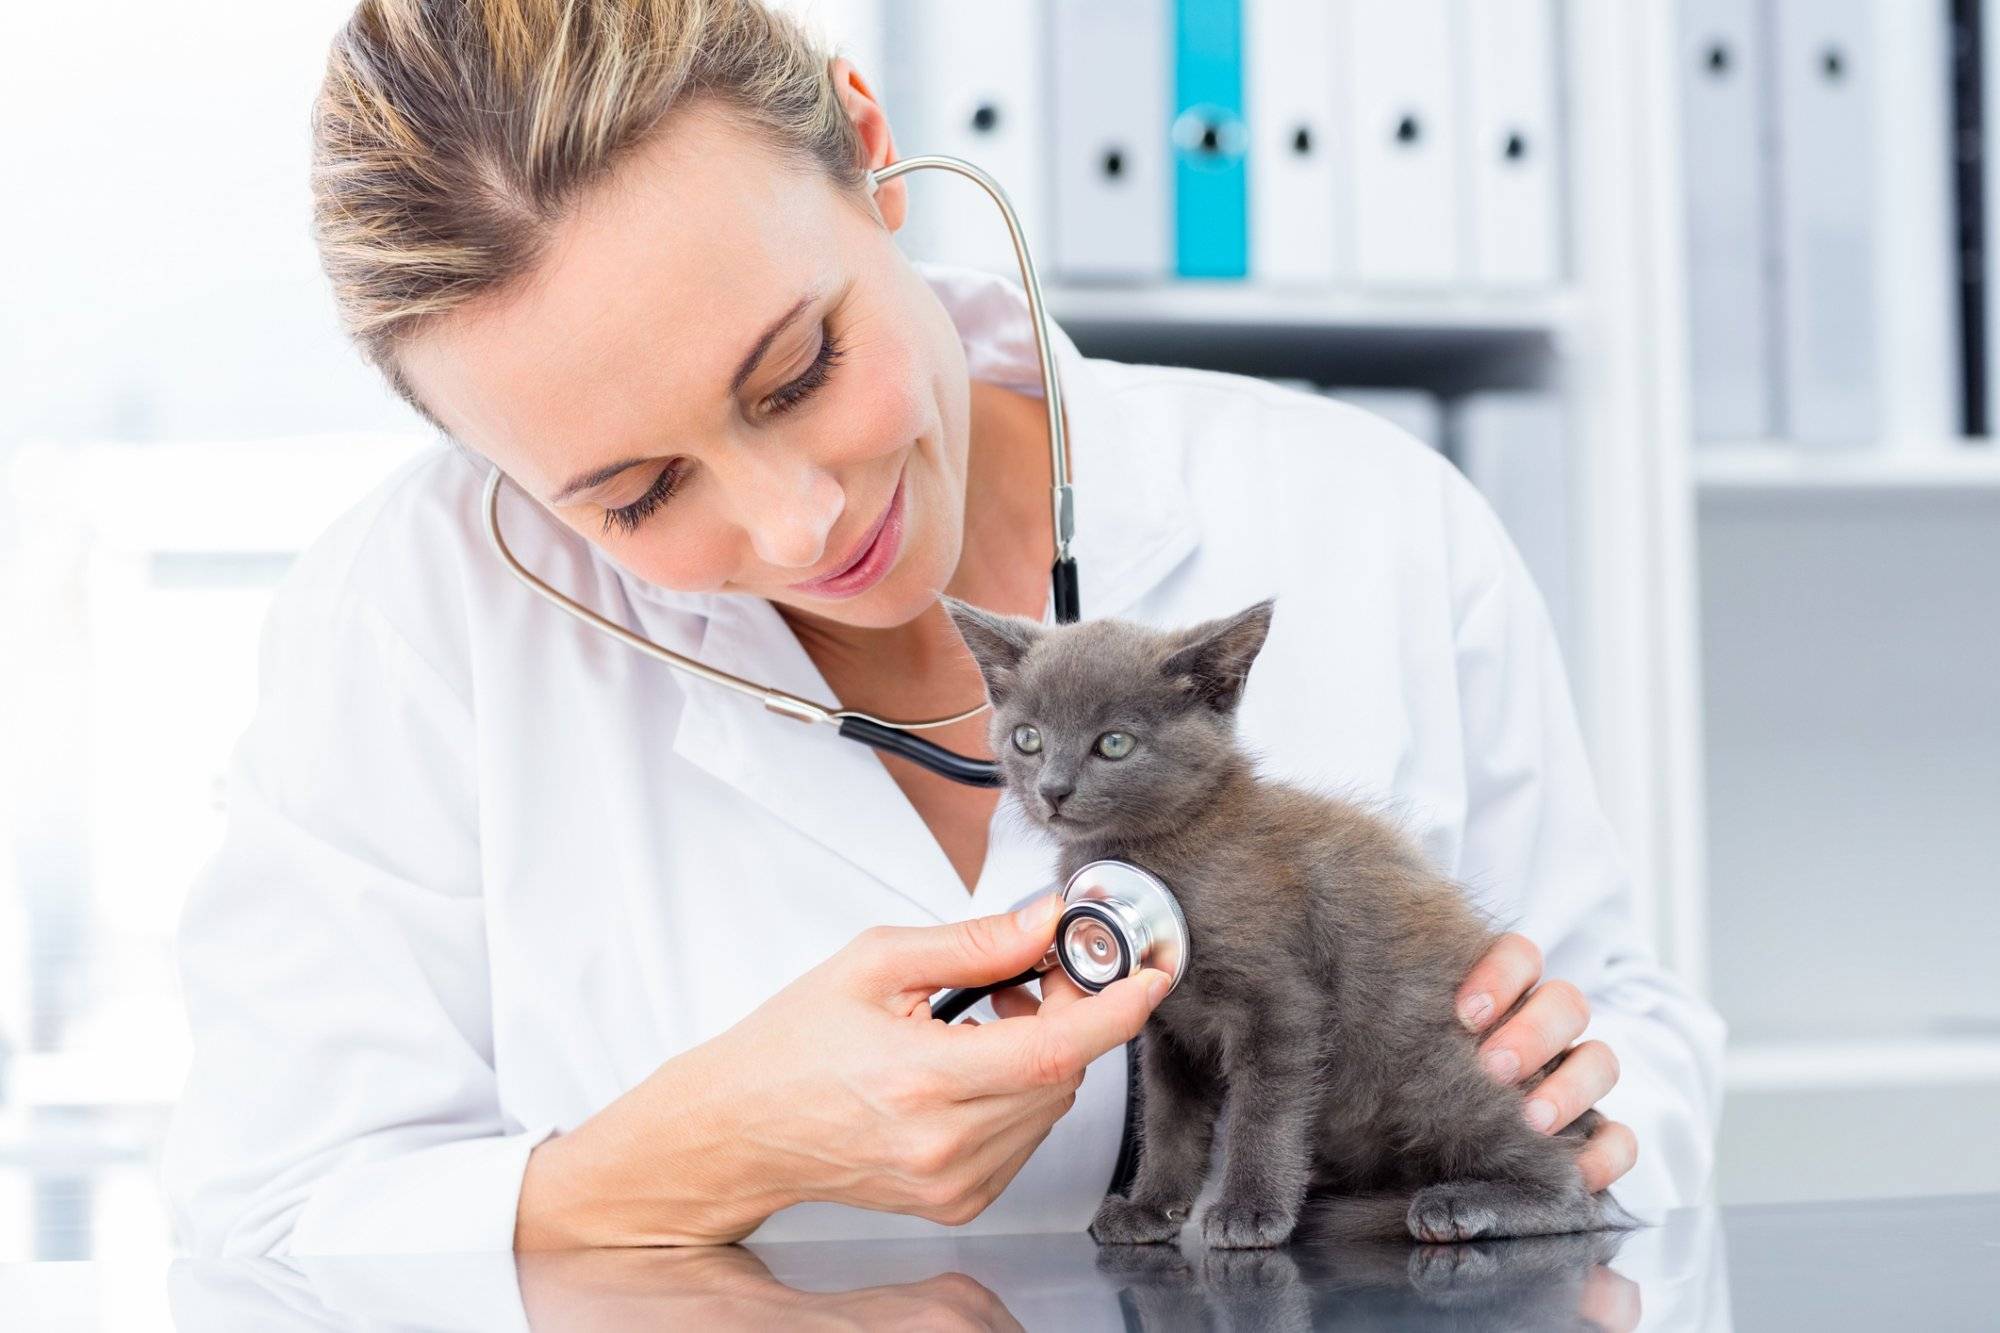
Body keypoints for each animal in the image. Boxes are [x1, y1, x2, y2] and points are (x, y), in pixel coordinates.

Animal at [944, 592, 1632, 1248]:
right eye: (1027, 738)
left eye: (1114, 743)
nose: (1053, 790)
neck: (1159, 851)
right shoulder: (1169, 1025)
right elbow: (1168, 1120)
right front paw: (1151, 1208)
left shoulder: (1282, 1002)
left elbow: (1264, 1111)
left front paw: (1251, 1211)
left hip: (1437, 1066)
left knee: (1573, 1190)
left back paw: (1463, 1204)